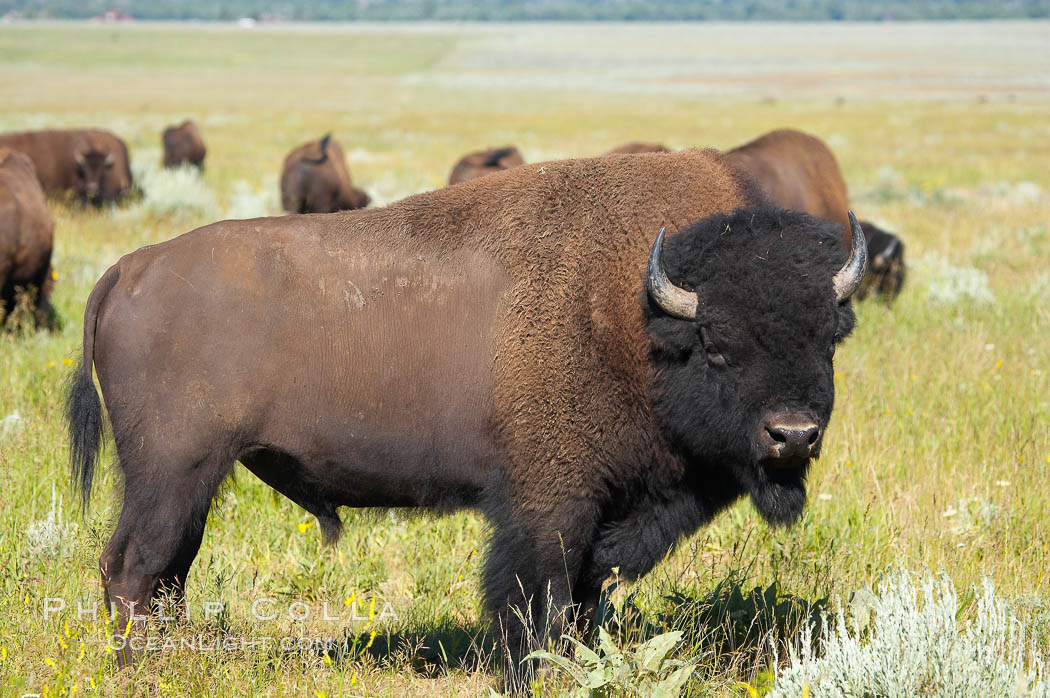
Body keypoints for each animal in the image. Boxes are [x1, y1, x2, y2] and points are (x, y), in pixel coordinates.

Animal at [67, 147, 869, 675]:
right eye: (718, 344)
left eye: (827, 337)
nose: (792, 435)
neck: (632, 315)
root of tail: (127, 271)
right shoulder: (549, 503)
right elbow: (536, 596)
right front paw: (535, 671)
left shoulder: (610, 514)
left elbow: (587, 596)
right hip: (171, 472)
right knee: (133, 568)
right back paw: (141, 668)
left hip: (190, 481)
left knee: (166, 570)